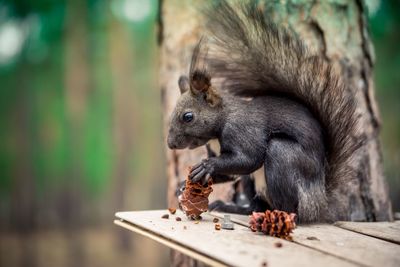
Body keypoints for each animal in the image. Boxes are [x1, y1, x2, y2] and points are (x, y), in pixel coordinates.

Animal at [166, 1, 360, 224]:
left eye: (188, 117)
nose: (170, 144)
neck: (221, 121)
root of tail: (318, 203)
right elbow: (230, 173)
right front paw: (184, 184)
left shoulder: (243, 130)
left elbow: (250, 158)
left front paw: (206, 166)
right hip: (252, 184)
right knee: (256, 204)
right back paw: (234, 208)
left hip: (283, 157)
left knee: (288, 206)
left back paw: (280, 216)